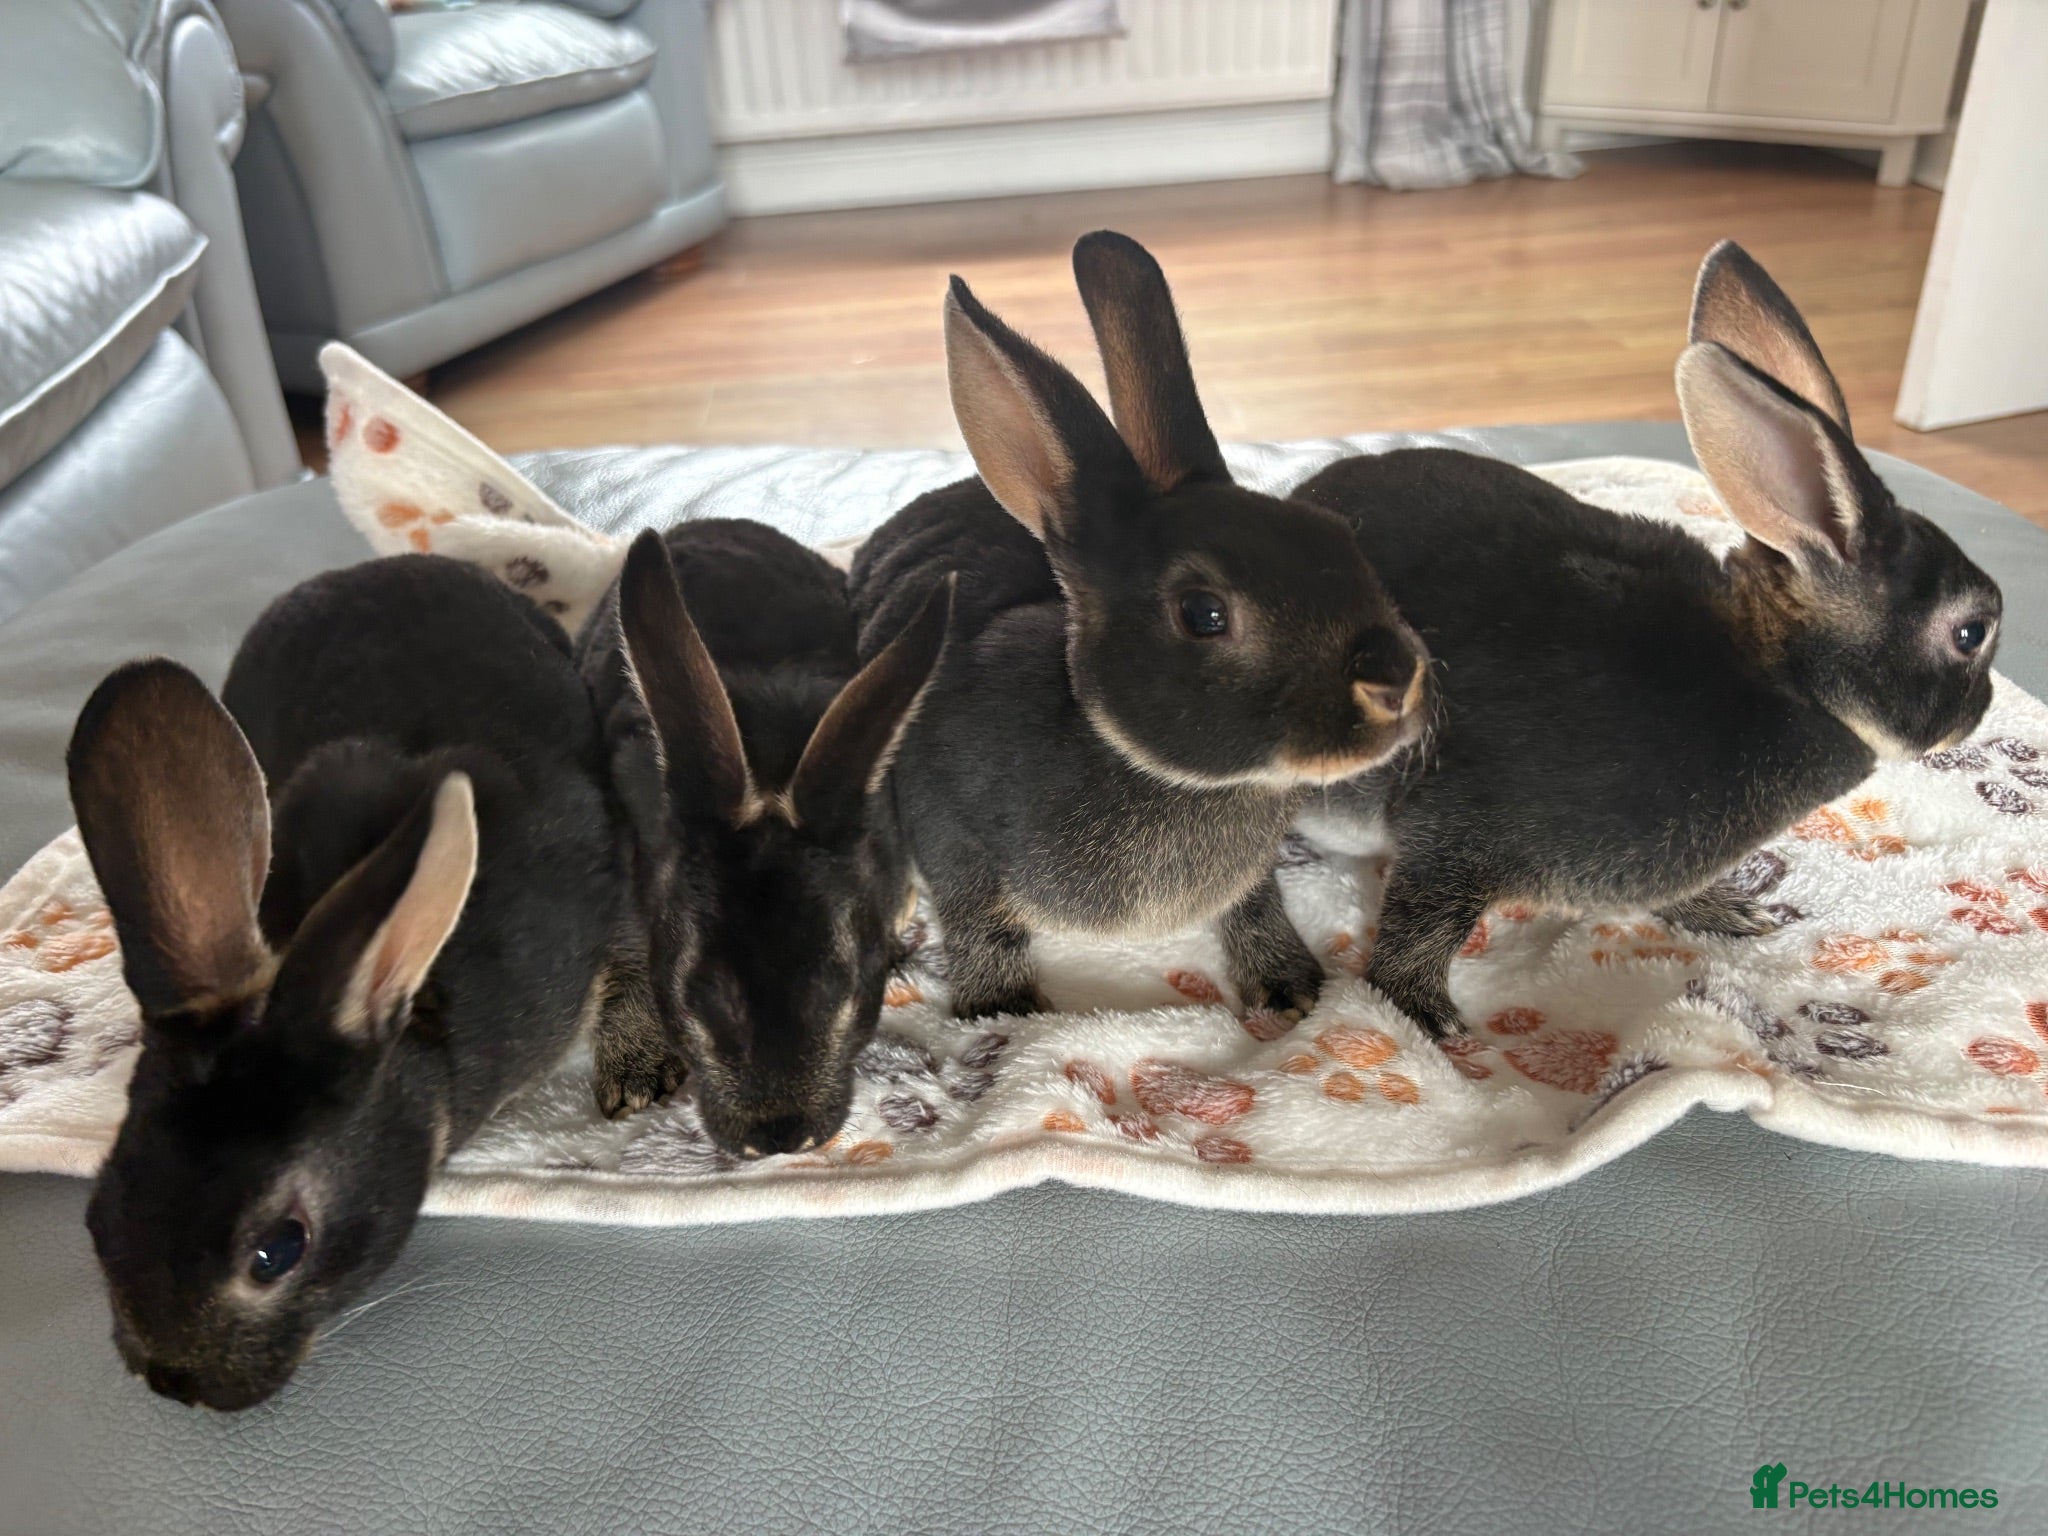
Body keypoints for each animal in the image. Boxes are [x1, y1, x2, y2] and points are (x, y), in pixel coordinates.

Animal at [848, 230, 1431, 1023]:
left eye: (1337, 534)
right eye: (1204, 613)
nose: (1395, 681)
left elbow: (1255, 901)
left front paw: (1288, 988)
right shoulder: (947, 815)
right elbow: (978, 918)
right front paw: (1002, 1008)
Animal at [1290, 240, 2003, 1038]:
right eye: (1971, 631)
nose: (1983, 711)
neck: (1784, 675)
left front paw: (1728, 912)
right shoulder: (1460, 833)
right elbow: (1418, 936)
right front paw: (1433, 1023)